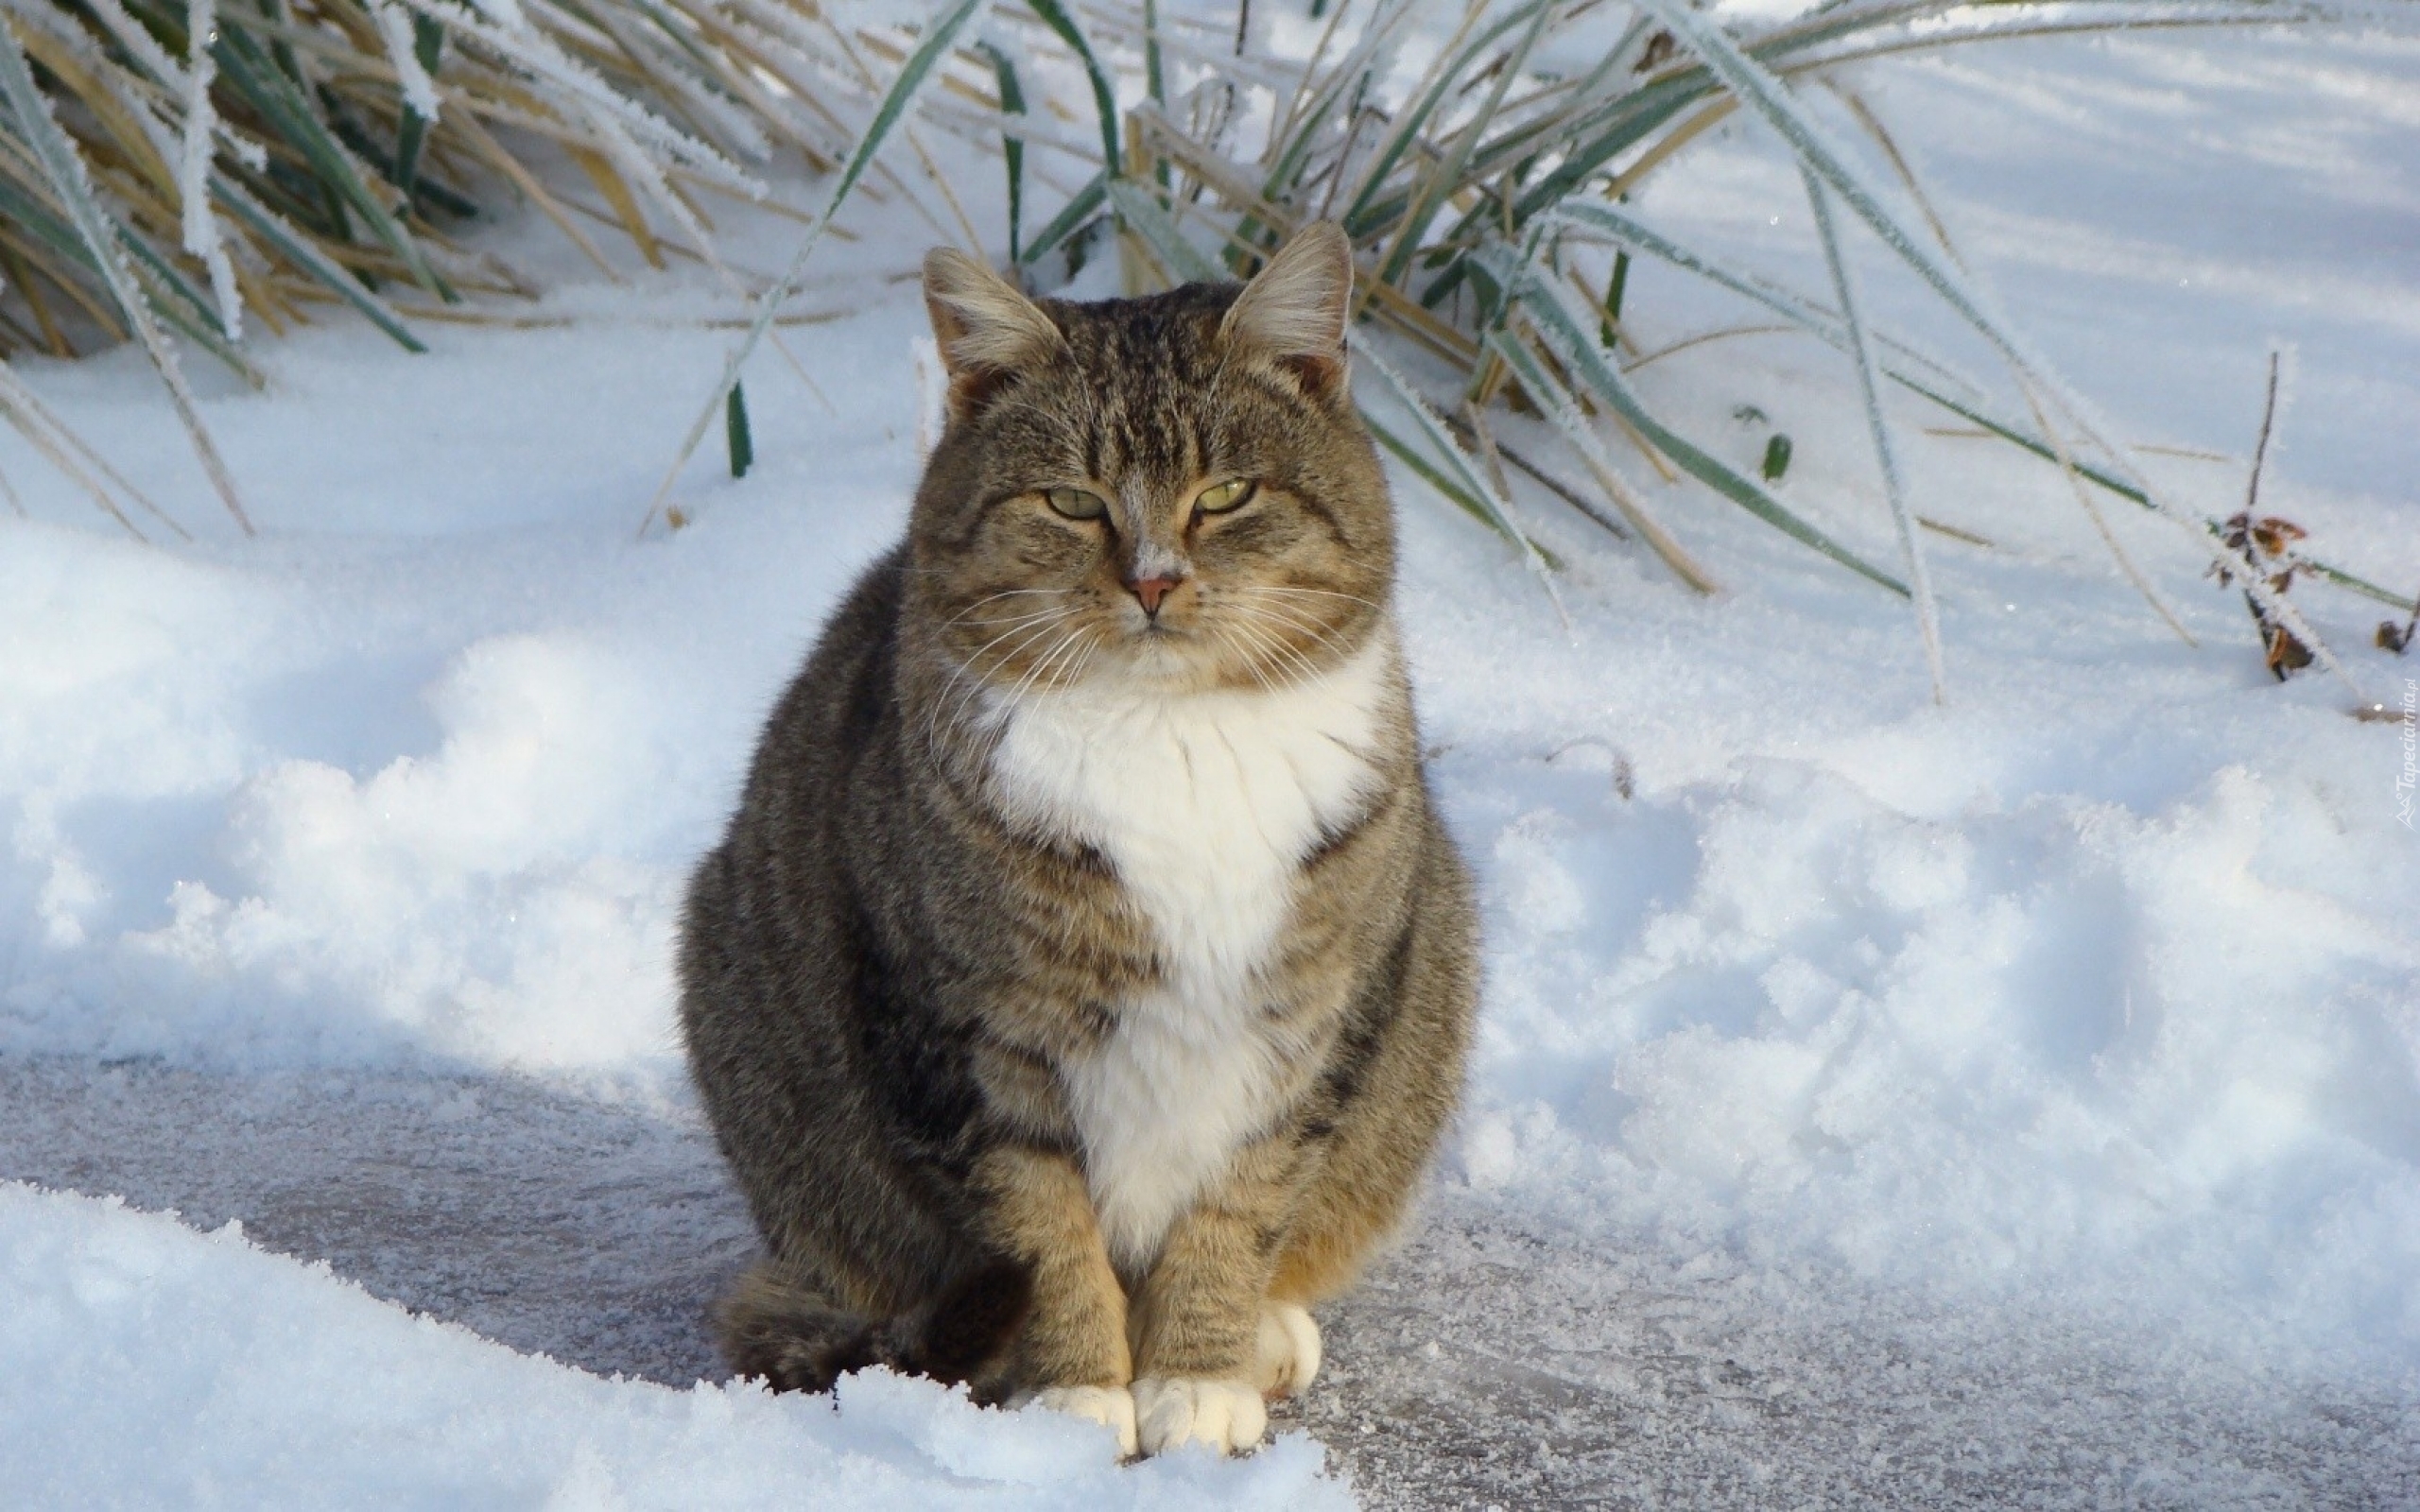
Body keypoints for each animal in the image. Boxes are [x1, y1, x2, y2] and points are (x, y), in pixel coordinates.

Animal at [672, 217, 1480, 1461]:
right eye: (1070, 502)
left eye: (1226, 493)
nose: (1152, 580)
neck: (1170, 740)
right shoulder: (966, 1040)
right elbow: (1041, 1228)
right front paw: (1074, 1398)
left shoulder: (1305, 1030)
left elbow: (1236, 1208)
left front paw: (1197, 1374)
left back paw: (1265, 1332)